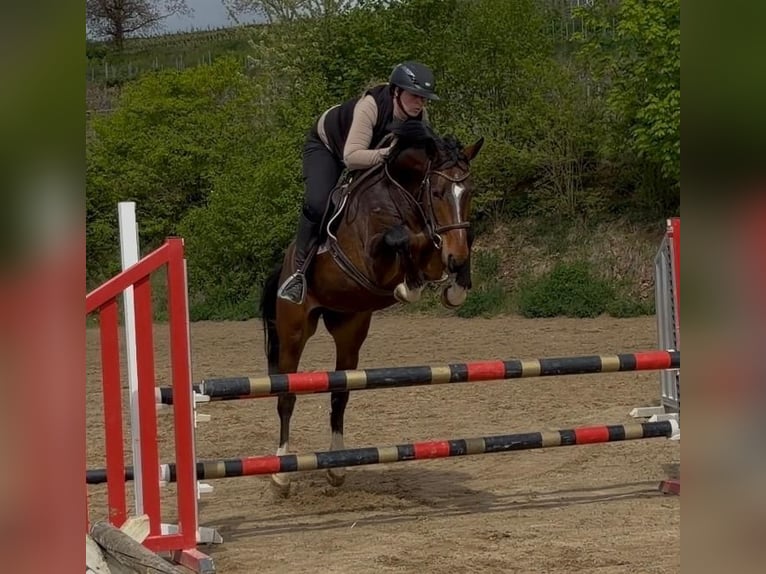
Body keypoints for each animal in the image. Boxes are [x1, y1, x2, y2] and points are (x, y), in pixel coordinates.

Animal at [260, 120, 484, 494]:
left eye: (469, 193)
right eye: (438, 192)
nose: (455, 259)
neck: (402, 195)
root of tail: (284, 266)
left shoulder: (438, 243)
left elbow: (452, 238)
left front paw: (455, 286)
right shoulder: (372, 259)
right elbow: (404, 238)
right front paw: (411, 286)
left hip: (349, 329)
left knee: (340, 394)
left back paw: (336, 467)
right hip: (293, 330)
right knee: (287, 396)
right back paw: (281, 473)